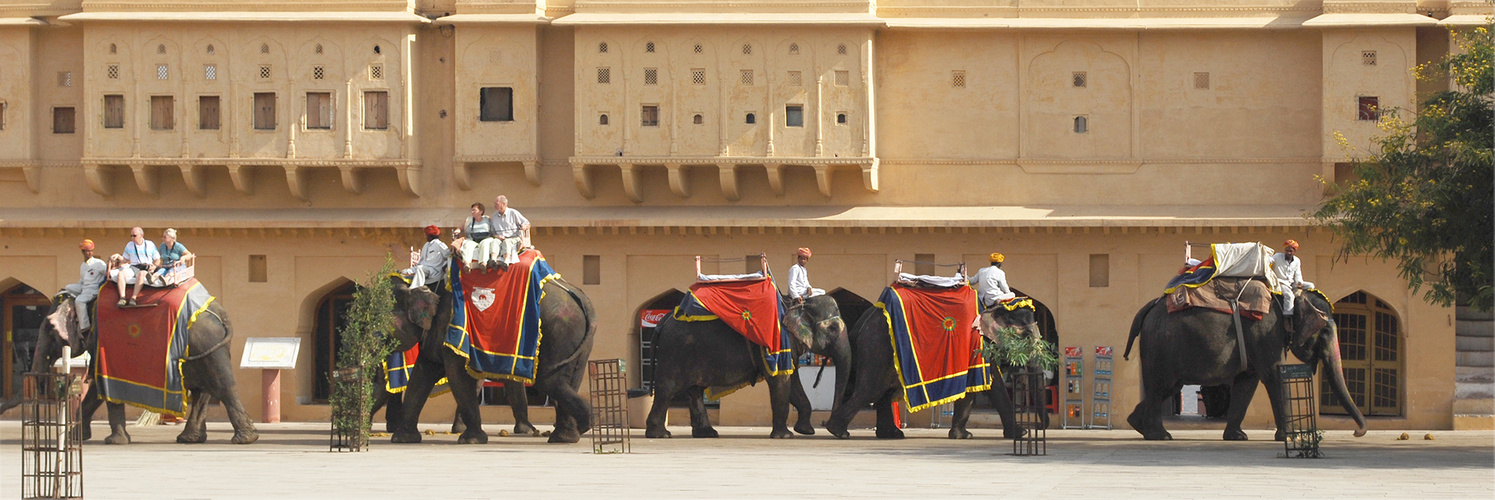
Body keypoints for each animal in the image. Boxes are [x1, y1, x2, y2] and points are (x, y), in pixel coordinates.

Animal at [7, 290, 258, 443]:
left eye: (49, 330)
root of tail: (222, 314)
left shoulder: (103, 340)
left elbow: (101, 386)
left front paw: (112, 441)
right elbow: (95, 391)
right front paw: (75, 437)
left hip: (206, 343)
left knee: (222, 386)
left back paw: (244, 439)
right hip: (205, 347)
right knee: (202, 391)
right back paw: (191, 439)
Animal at [385, 275, 595, 443]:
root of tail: (582, 298)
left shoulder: (452, 326)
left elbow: (457, 376)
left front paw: (471, 441)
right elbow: (422, 376)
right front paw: (403, 439)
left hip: (562, 330)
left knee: (549, 380)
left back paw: (586, 422)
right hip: (575, 335)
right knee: (567, 379)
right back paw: (567, 436)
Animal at [645, 293, 849, 437]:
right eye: (832, 328)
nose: (839, 432)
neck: (798, 305)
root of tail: (665, 318)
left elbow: (793, 384)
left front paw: (805, 431)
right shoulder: (778, 344)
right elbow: (781, 382)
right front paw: (786, 436)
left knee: (694, 390)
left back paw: (707, 434)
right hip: (674, 353)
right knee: (667, 390)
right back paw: (660, 435)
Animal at [819, 300, 1040, 437]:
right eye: (1027, 335)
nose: (1037, 426)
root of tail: (860, 323)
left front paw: (962, 436)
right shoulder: (978, 344)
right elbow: (993, 386)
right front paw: (1021, 434)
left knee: (884, 392)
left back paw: (892, 435)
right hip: (877, 347)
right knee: (870, 390)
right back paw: (838, 432)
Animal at [1124, 284, 1369, 440]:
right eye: (1325, 331)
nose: (1357, 432)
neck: (1285, 296)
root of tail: (1148, 308)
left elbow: (1248, 381)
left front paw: (1238, 437)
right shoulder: (1266, 332)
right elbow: (1273, 374)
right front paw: (1293, 437)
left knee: (1166, 388)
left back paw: (1137, 424)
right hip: (1161, 347)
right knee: (1161, 387)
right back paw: (1160, 436)